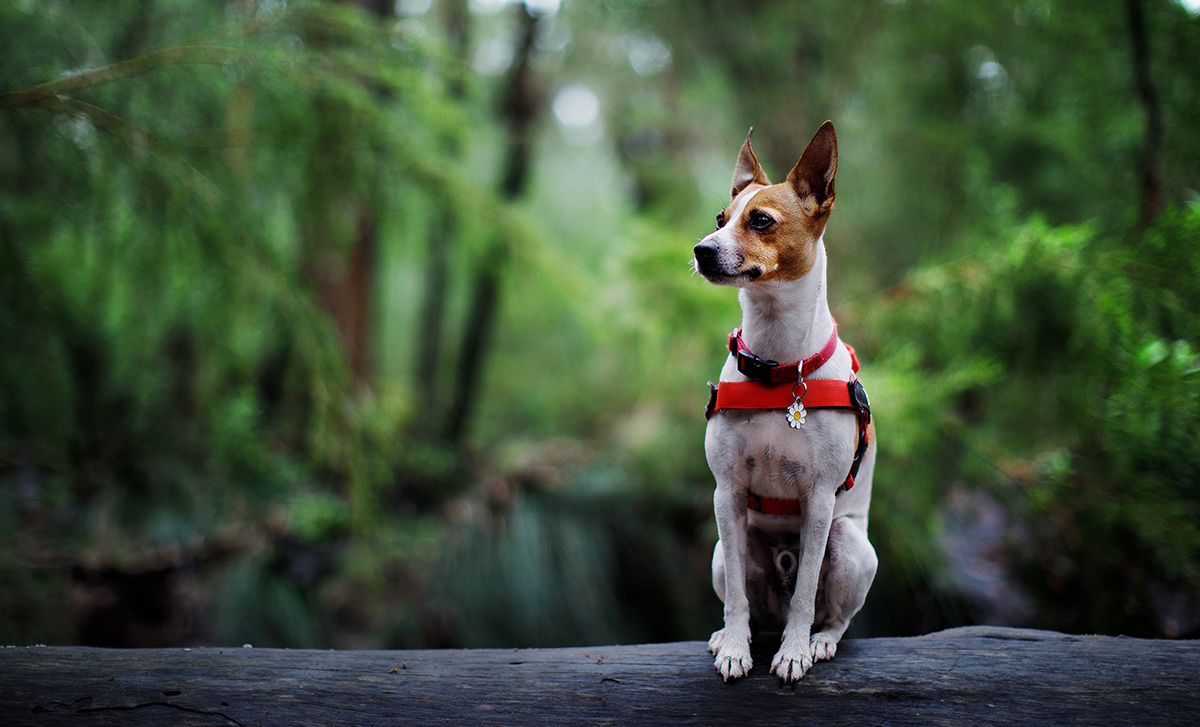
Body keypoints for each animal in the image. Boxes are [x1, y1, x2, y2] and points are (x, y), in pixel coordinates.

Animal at [696, 122, 873, 686]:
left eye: (761, 220)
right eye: (720, 219)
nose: (701, 250)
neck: (777, 366)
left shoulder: (818, 501)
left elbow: (805, 597)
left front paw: (794, 651)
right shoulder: (727, 493)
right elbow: (736, 597)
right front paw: (734, 647)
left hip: (848, 543)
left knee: (833, 615)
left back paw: (818, 641)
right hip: (722, 551)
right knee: (751, 606)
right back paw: (732, 635)